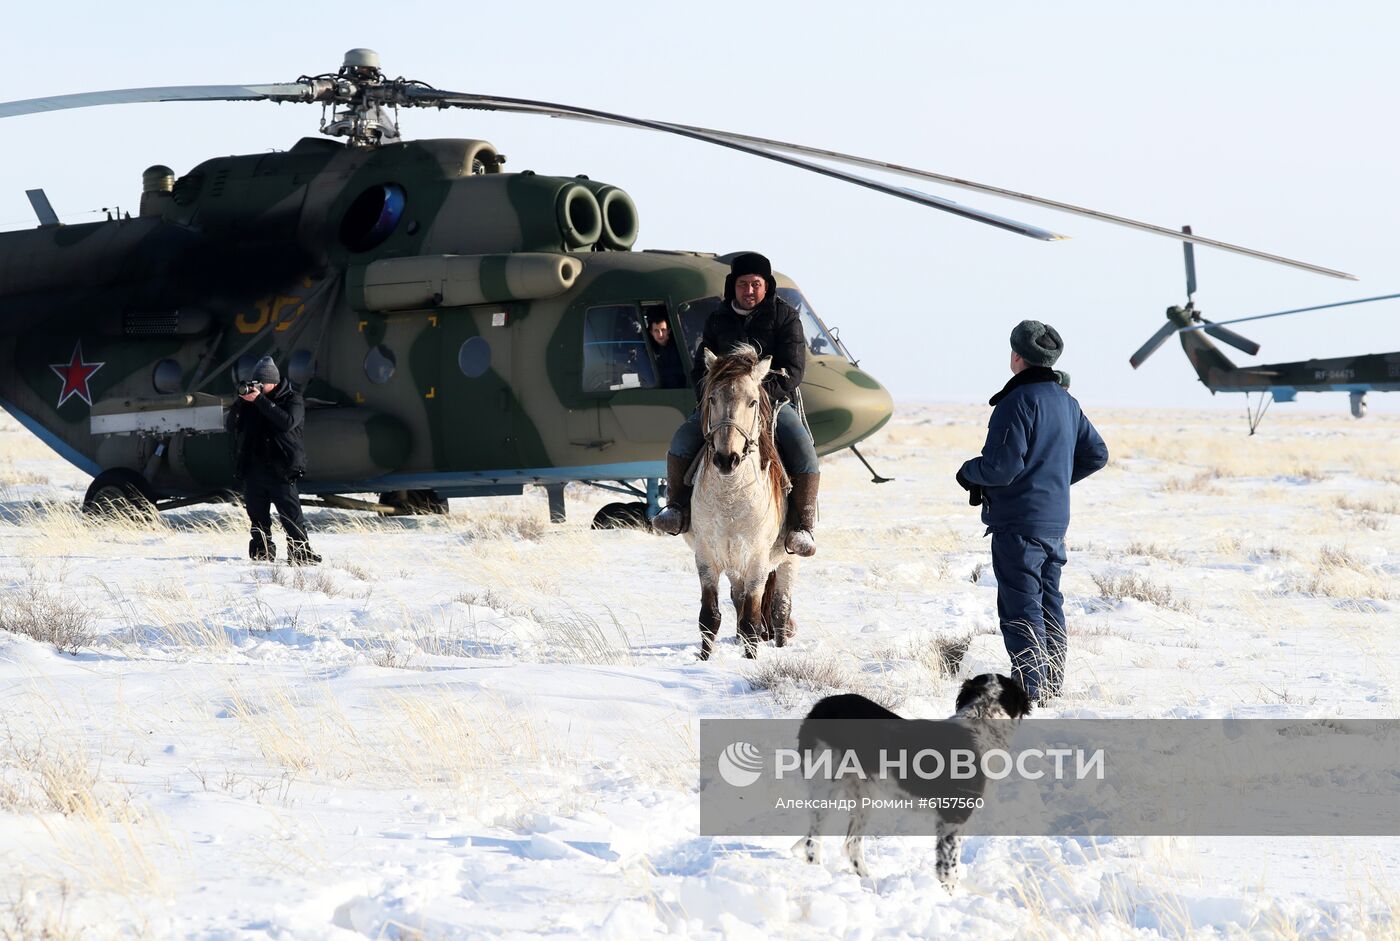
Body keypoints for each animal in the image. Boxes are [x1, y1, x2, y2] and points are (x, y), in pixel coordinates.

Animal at [688, 341, 800, 658]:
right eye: (712, 398)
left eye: (752, 402)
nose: (727, 459)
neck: (731, 497)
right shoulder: (707, 556)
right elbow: (709, 616)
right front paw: (703, 659)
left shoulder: (757, 560)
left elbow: (753, 618)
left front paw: (751, 660)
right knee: (738, 601)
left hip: (788, 560)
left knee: (779, 609)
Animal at [795, 672, 1036, 884]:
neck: (981, 723)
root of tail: (821, 705)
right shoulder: (953, 816)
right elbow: (948, 870)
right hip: (824, 786)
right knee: (813, 842)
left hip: (864, 796)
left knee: (851, 845)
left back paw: (868, 880)